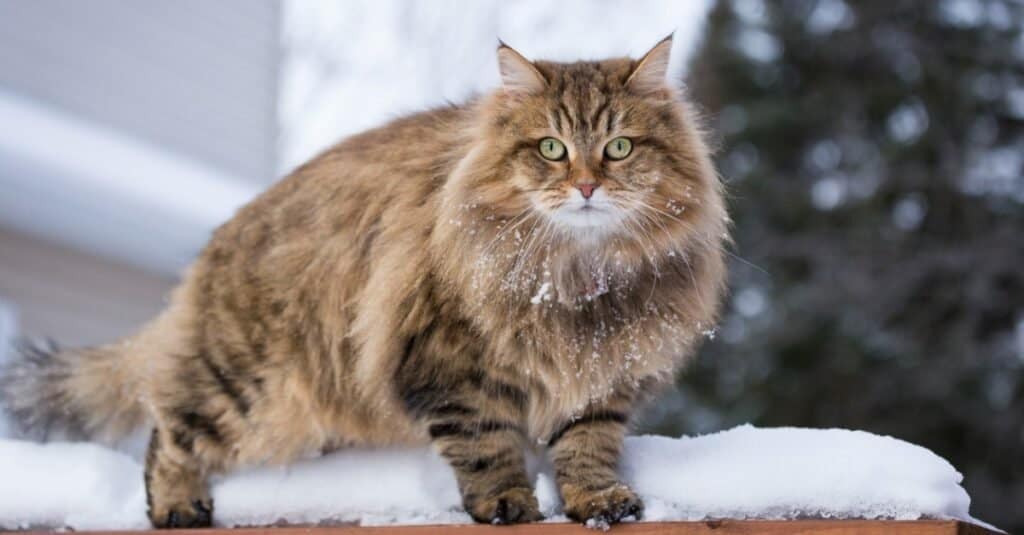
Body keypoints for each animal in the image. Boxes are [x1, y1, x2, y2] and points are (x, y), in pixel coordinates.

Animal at [0, 35, 729, 524]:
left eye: (619, 148)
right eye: (552, 148)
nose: (585, 186)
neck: (576, 276)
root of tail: (218, 243)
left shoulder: (602, 374)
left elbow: (587, 445)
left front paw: (597, 500)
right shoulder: (447, 365)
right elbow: (485, 444)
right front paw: (506, 501)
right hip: (245, 385)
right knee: (168, 430)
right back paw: (180, 505)